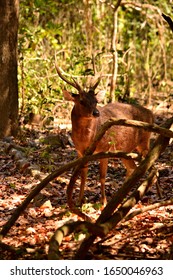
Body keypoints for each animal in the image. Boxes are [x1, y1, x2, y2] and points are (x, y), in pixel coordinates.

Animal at [55, 64, 153, 207]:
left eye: (96, 101)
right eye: (81, 101)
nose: (96, 113)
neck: (86, 140)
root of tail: (151, 113)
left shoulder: (105, 149)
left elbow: (102, 176)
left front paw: (104, 202)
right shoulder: (80, 152)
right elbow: (83, 175)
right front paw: (79, 200)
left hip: (144, 141)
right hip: (125, 150)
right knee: (132, 168)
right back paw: (122, 197)